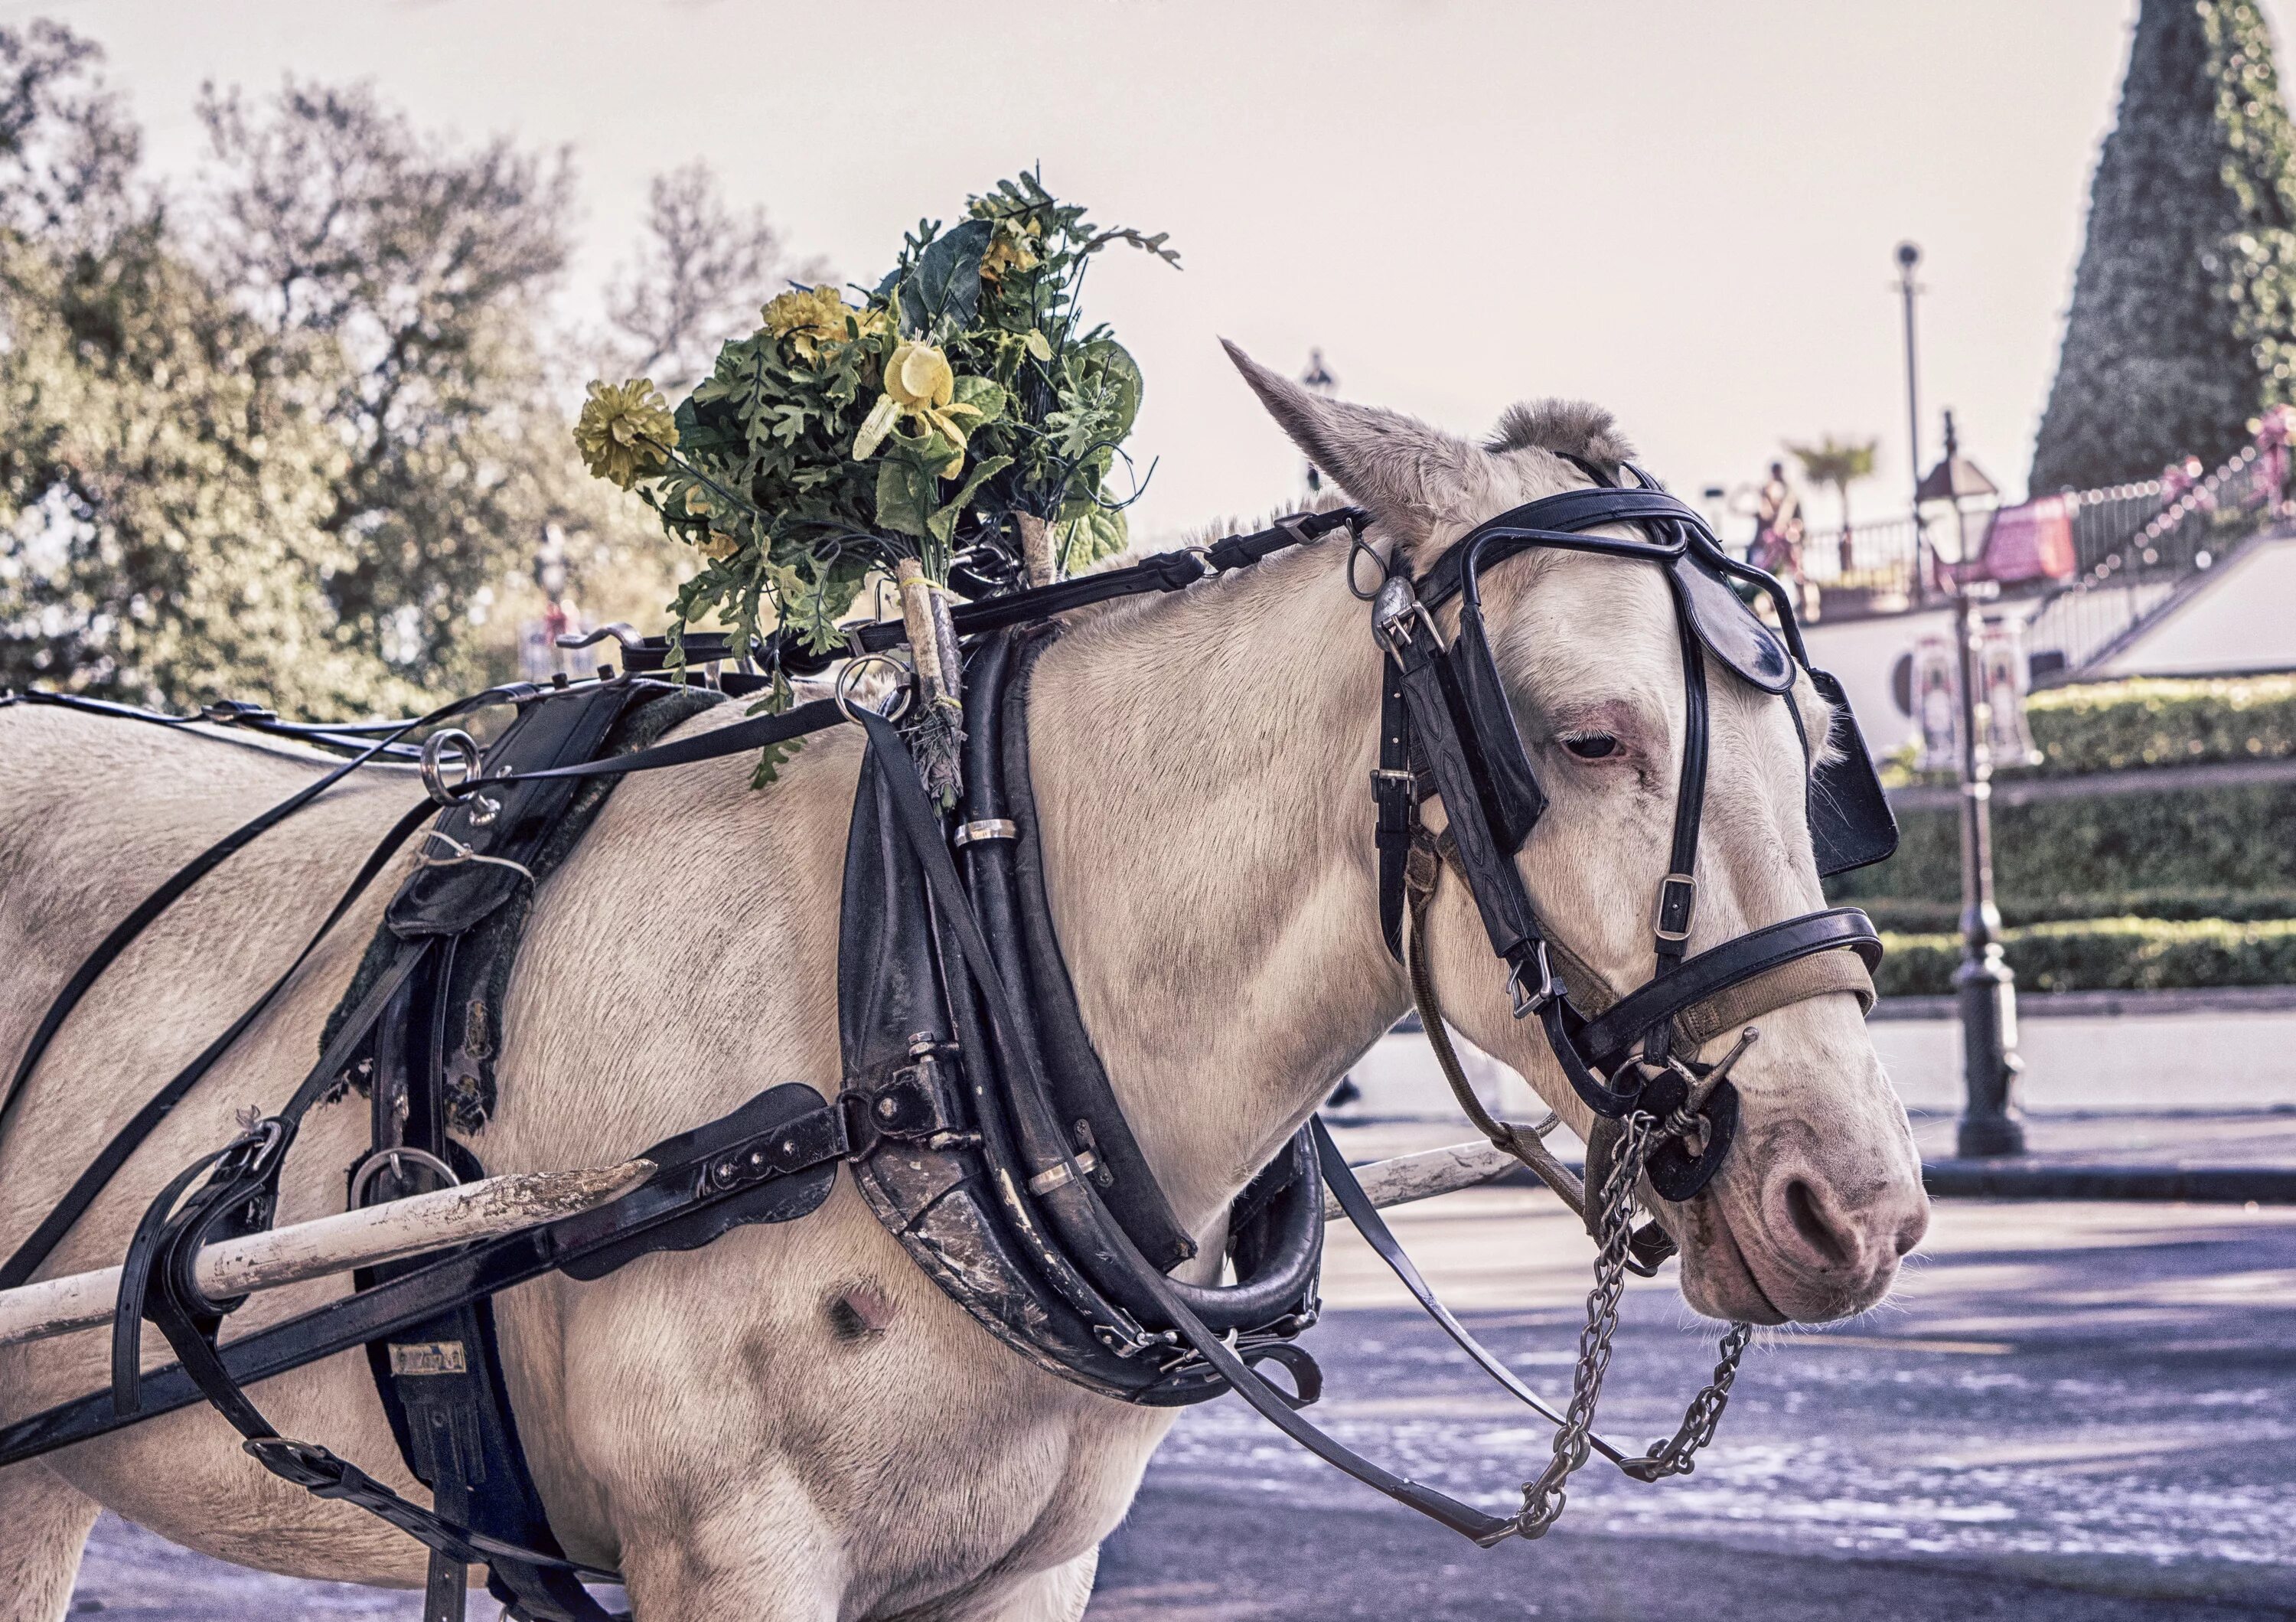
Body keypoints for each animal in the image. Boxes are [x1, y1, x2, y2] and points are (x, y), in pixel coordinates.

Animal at [0, 351, 1929, 1617]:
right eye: (1583, 736)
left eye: (1819, 746)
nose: (1854, 1199)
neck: (935, 1007)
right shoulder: (733, 1559)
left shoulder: (1031, 1564)